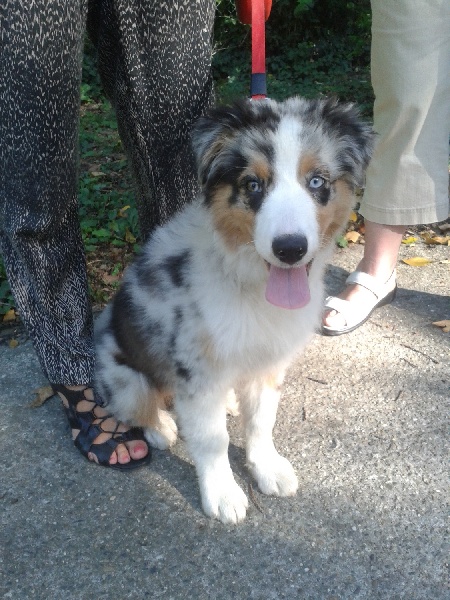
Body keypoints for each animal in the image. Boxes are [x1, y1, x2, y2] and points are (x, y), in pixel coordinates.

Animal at [95, 97, 373, 523]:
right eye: (252, 185)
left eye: (317, 181)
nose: (289, 249)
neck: (250, 282)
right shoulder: (197, 371)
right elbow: (212, 440)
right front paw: (222, 493)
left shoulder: (268, 362)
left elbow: (260, 422)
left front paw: (267, 468)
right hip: (124, 378)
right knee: (141, 406)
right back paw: (160, 428)